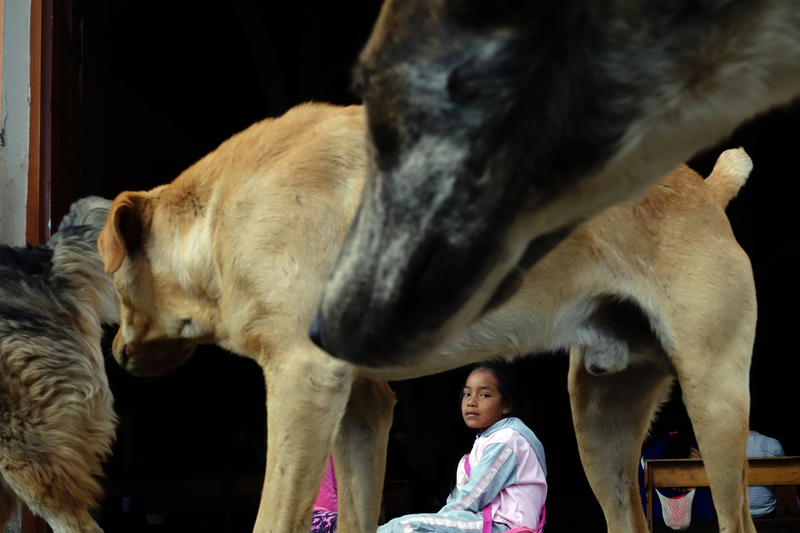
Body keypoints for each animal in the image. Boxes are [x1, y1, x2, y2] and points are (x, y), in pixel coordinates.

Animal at [98, 103, 756, 532]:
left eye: (112, 282)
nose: (115, 354)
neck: (218, 213)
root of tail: (707, 191)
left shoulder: (301, 382)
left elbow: (273, 515)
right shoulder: (361, 406)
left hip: (715, 399)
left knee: (736, 514)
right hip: (600, 421)